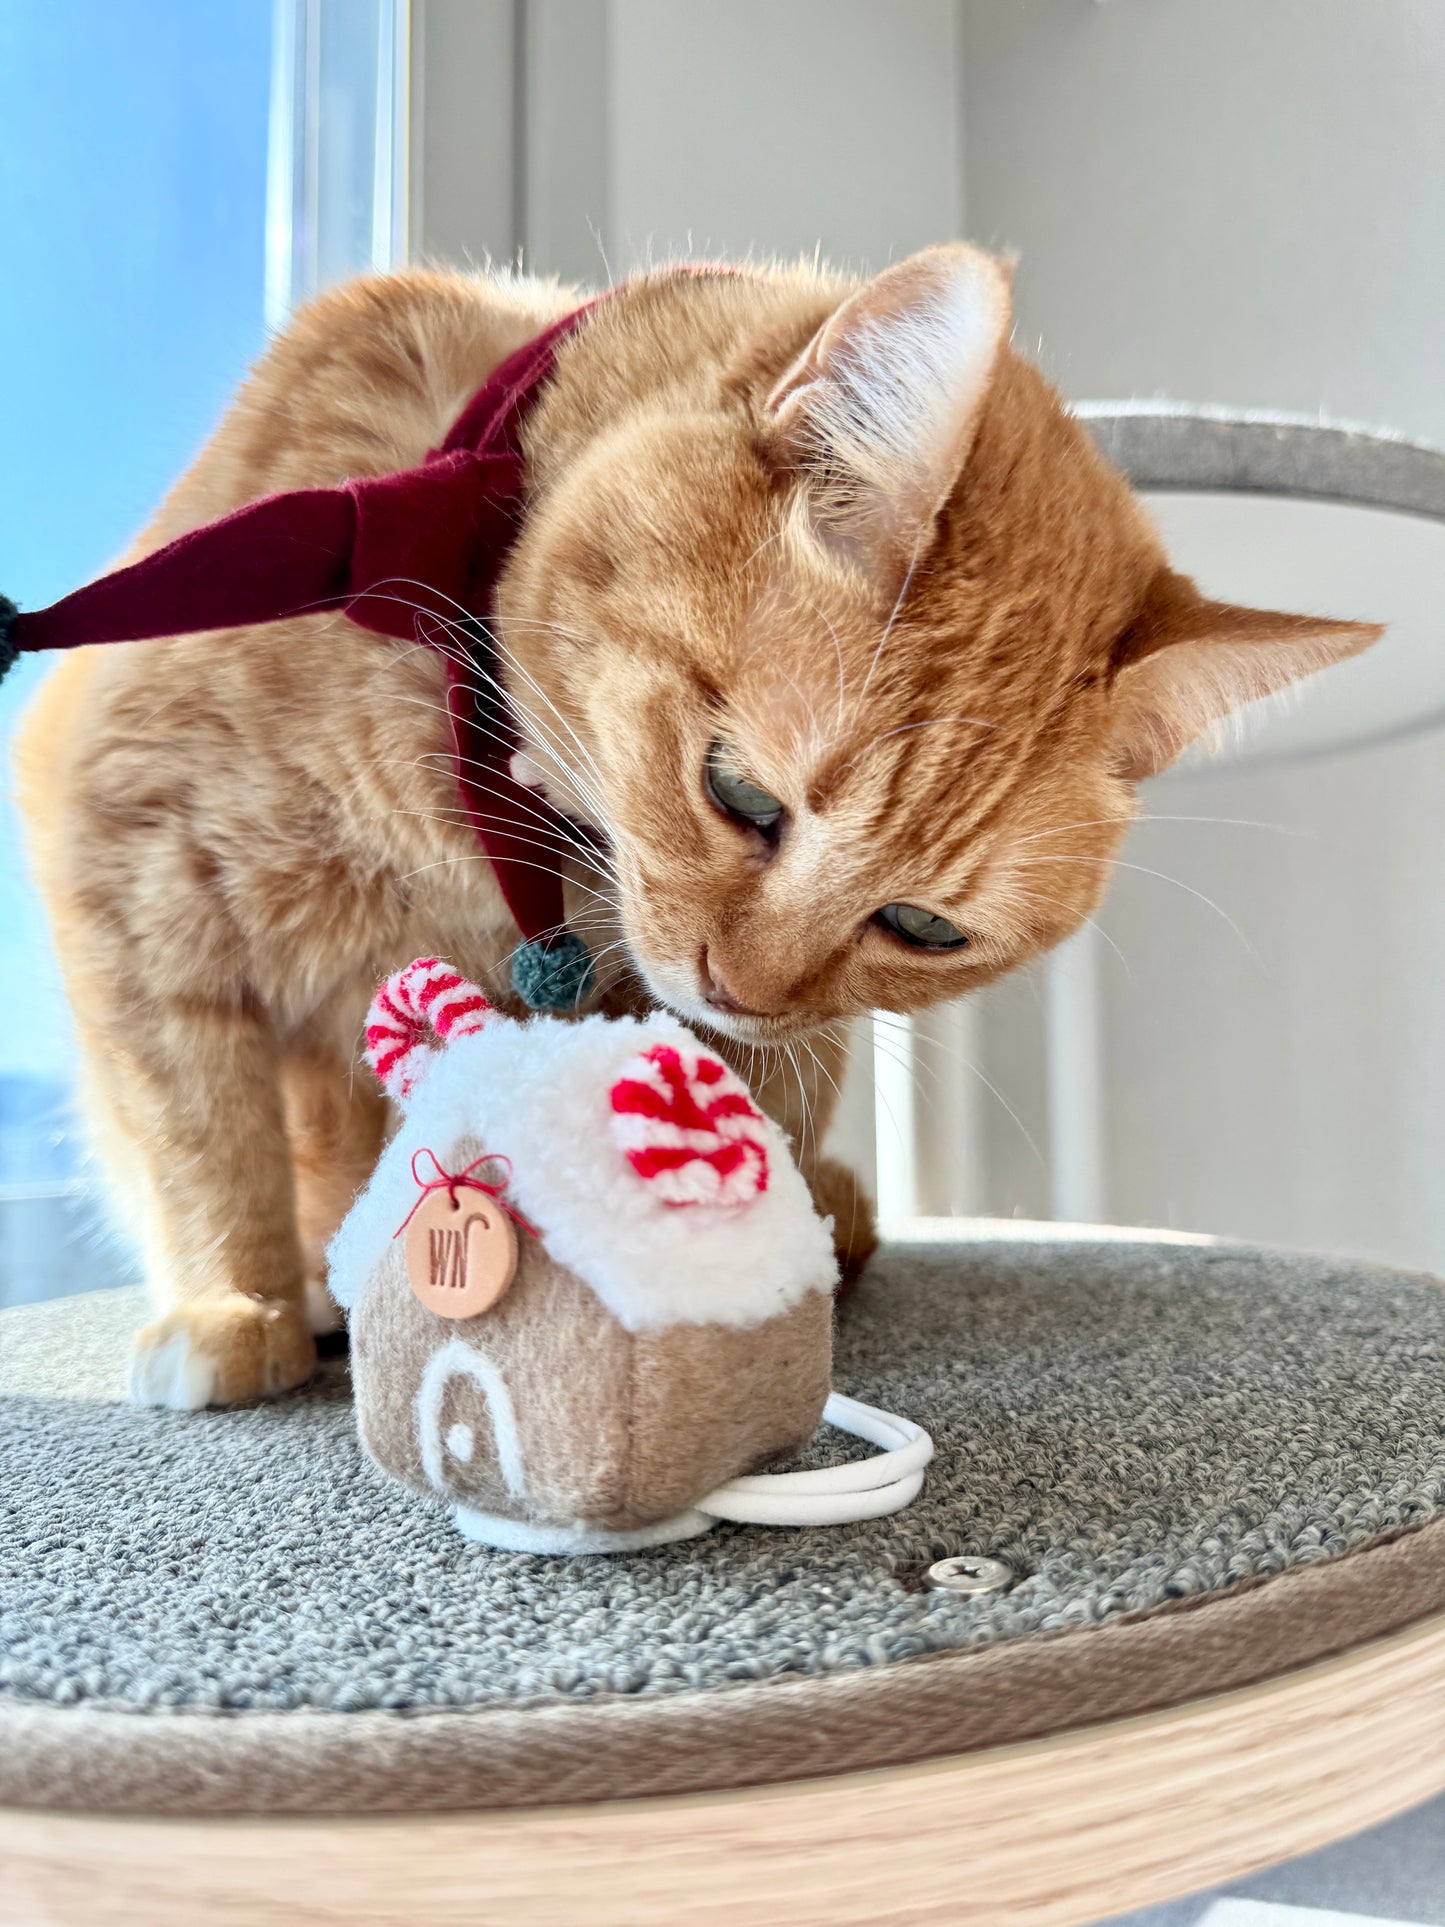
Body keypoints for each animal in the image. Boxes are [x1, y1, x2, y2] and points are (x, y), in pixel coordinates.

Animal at [14, 248, 1394, 1410]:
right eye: (740, 795)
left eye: (918, 925)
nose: (740, 989)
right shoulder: (132, 867)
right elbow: (200, 1129)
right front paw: (234, 1300)